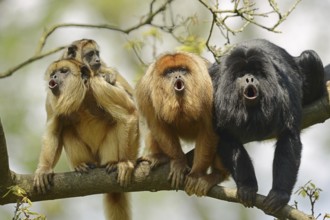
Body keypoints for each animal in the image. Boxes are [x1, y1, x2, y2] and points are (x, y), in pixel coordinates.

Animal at [34, 58, 139, 220]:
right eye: (53, 73)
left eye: (63, 71)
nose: (54, 77)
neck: (80, 96)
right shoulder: (50, 102)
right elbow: (53, 132)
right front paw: (44, 169)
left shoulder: (99, 86)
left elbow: (129, 114)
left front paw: (126, 163)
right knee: (66, 130)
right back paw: (82, 164)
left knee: (117, 123)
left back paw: (113, 163)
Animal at [135, 52, 228, 196]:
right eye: (170, 72)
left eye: (182, 70)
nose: (178, 76)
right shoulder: (145, 92)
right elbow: (157, 126)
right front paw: (179, 162)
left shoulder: (208, 86)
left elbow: (210, 130)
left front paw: (196, 175)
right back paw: (160, 157)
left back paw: (217, 175)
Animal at [210, 39, 326, 213]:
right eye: (241, 75)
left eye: (256, 73)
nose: (249, 79)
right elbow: (224, 137)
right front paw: (247, 186)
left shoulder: (285, 90)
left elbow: (289, 135)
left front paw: (279, 194)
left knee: (310, 57)